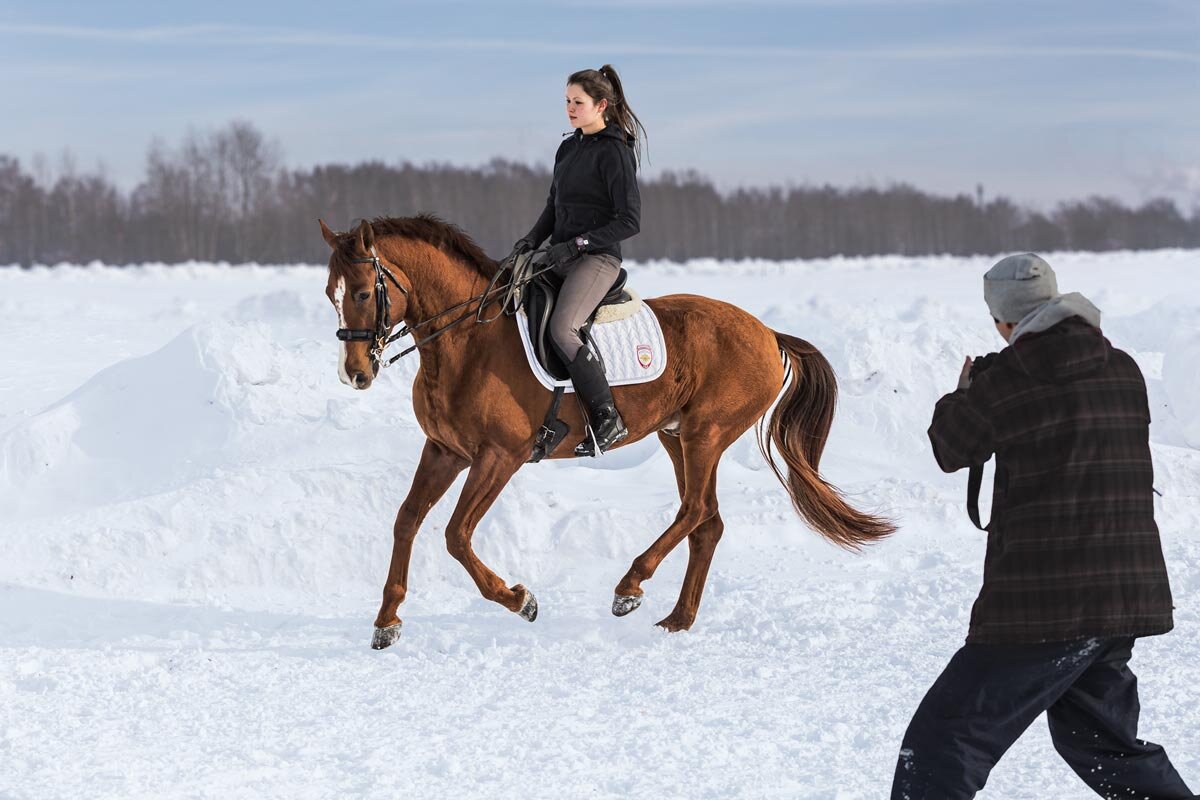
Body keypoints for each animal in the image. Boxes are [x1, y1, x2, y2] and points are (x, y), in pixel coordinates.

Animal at [319, 214, 892, 652]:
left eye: (365, 292)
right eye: (331, 294)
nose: (355, 374)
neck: (466, 343)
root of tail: (767, 333)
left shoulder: (499, 456)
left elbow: (457, 535)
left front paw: (520, 600)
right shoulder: (444, 450)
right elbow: (406, 520)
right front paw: (386, 622)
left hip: (706, 434)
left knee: (694, 510)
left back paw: (630, 586)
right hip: (675, 436)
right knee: (707, 522)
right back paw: (676, 619)